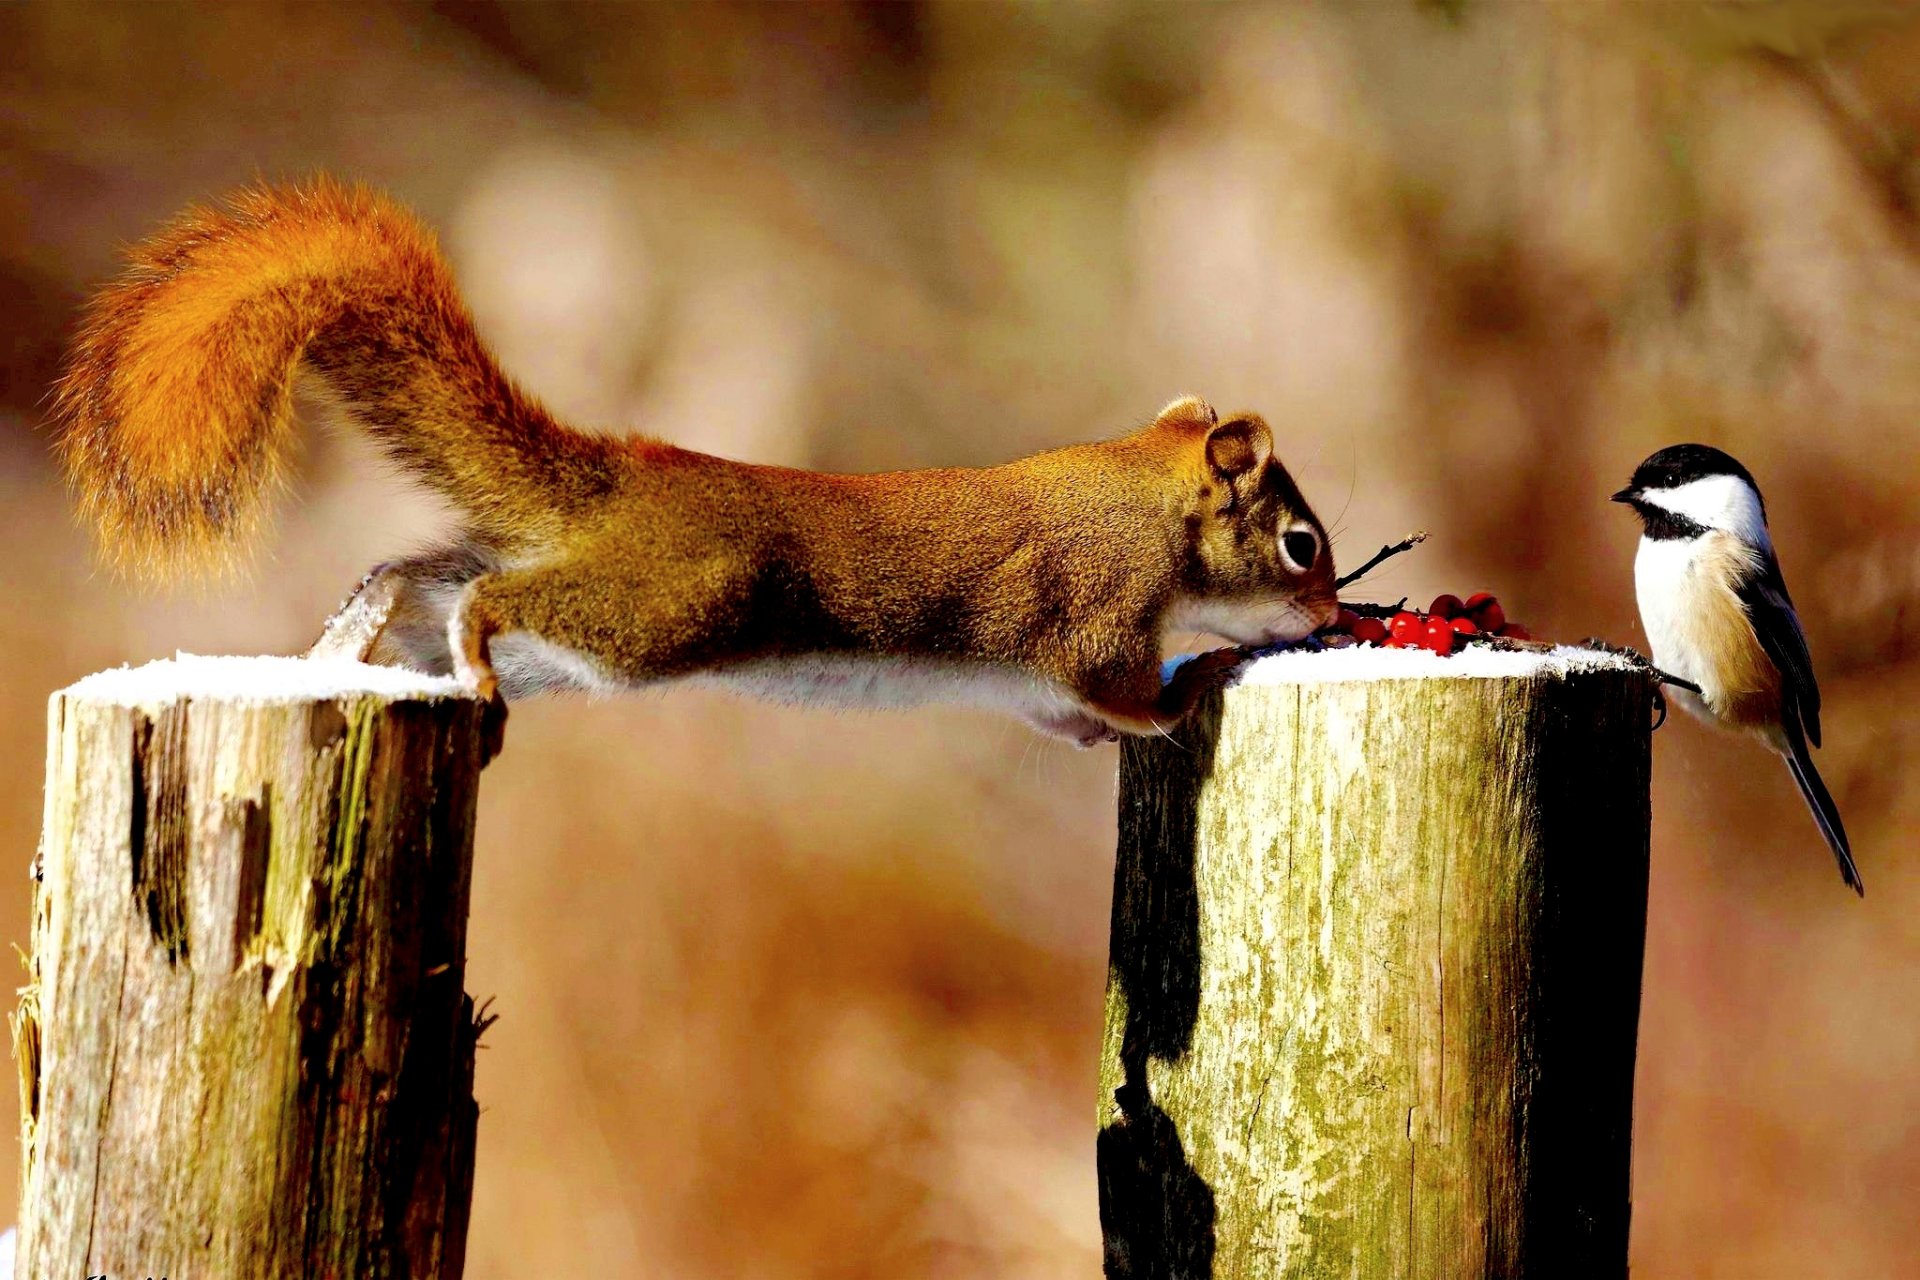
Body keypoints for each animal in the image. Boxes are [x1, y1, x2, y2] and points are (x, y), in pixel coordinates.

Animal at [53, 180, 1339, 746]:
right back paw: (451, 646)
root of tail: (628, 480)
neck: (1138, 494)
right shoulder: (1094, 613)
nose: (1333, 612)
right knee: (486, 595)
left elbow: (1071, 719)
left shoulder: (1036, 686)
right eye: (1299, 542)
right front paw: (1192, 688)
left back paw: (347, 645)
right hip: (674, 603)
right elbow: (1119, 685)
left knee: (416, 574)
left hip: (581, 631)